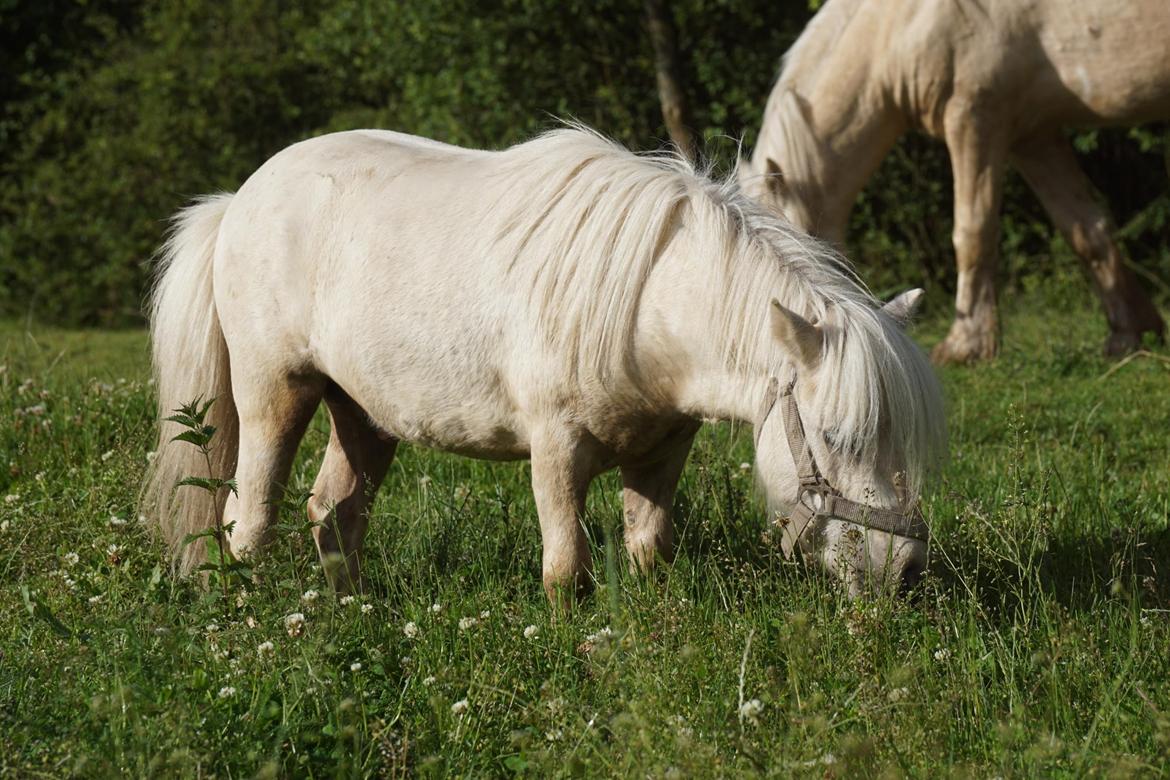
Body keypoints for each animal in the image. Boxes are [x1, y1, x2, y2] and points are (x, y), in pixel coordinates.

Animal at [141, 125, 945, 603]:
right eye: (837, 438)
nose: (901, 569)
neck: (648, 308)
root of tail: (240, 198)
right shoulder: (556, 450)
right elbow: (566, 572)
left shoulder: (661, 452)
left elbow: (649, 551)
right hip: (275, 394)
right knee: (249, 517)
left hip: (363, 414)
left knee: (334, 516)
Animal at [739, 0, 1170, 364]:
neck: (898, 23)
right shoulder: (1034, 136)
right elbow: (1086, 230)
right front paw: (1129, 335)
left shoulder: (975, 117)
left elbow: (972, 232)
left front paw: (966, 345)